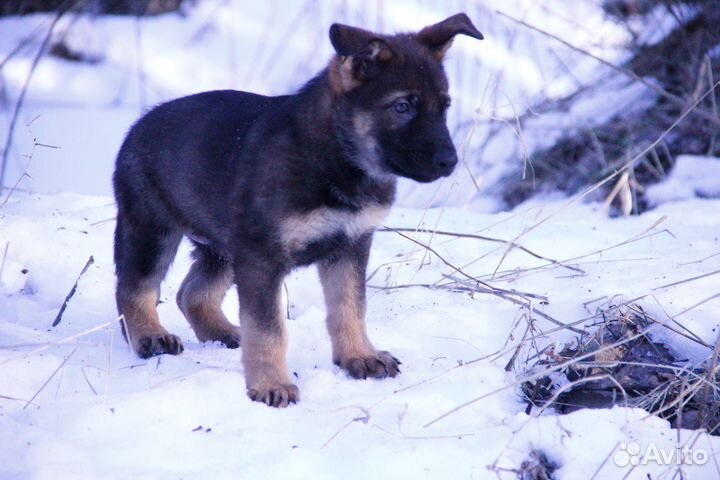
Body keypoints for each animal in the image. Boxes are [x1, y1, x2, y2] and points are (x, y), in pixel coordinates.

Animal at [114, 14, 484, 404]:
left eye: (444, 107)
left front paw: (359, 356)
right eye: (402, 107)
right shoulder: (261, 256)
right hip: (152, 229)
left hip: (223, 247)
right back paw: (150, 336)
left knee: (192, 293)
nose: (449, 161)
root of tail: (138, 126)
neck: (335, 157)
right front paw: (271, 384)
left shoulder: (351, 245)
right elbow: (268, 329)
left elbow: (350, 307)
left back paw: (223, 331)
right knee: (134, 286)